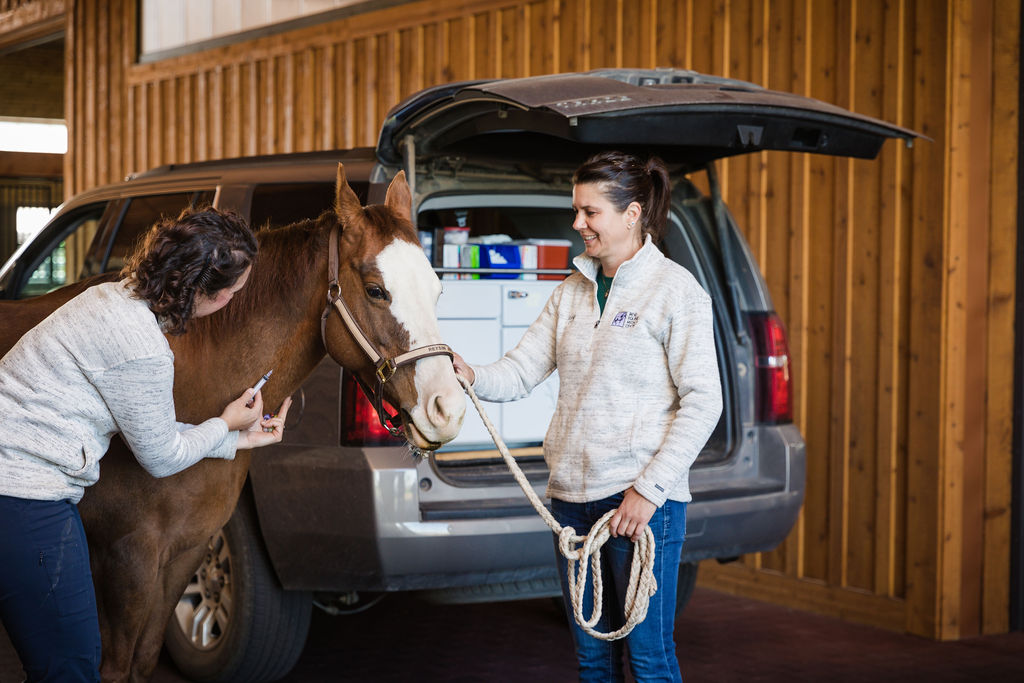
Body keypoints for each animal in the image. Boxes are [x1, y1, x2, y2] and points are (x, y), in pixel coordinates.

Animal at [0, 163, 464, 679]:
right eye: (376, 290)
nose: (447, 408)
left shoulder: (182, 555)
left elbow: (143, 661)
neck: (195, 377)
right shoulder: (125, 559)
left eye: (439, 290)